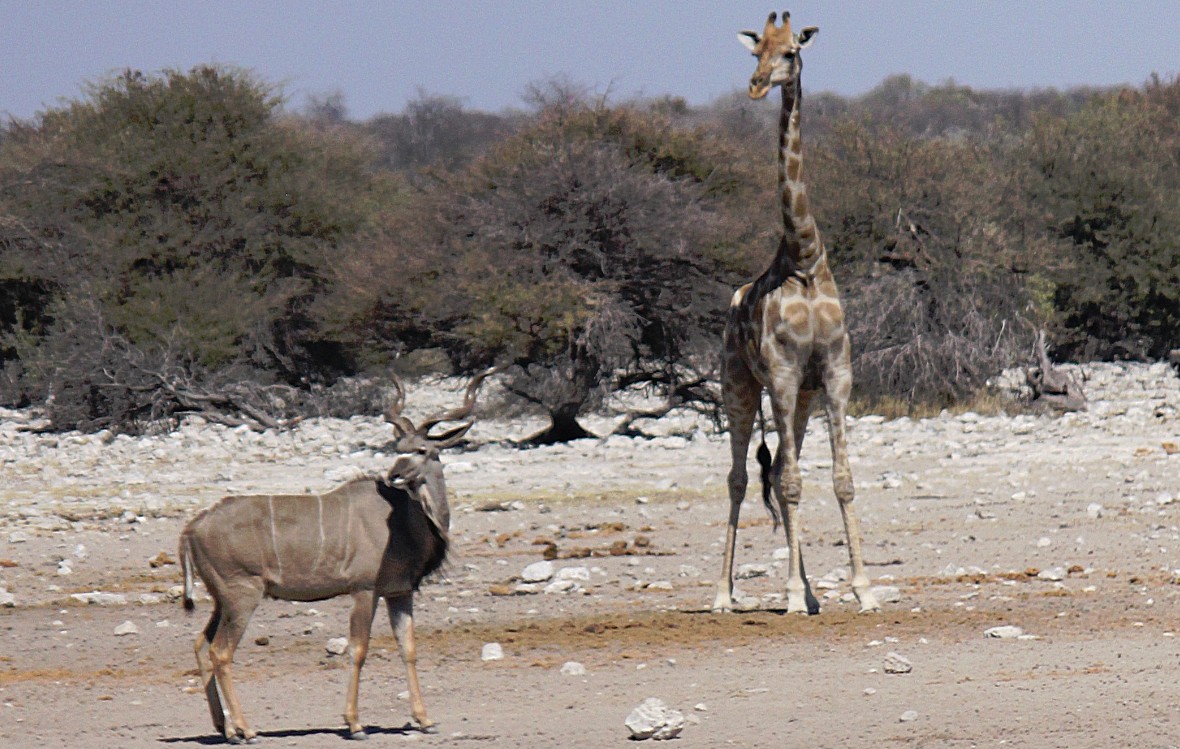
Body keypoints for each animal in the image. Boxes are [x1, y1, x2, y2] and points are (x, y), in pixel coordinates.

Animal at [707, 13, 877, 613]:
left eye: (790, 52)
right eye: (755, 49)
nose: (757, 85)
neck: (803, 257)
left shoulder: (832, 372)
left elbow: (841, 479)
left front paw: (863, 588)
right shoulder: (780, 372)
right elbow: (791, 483)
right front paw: (787, 594)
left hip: (799, 398)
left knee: (780, 465)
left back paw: (806, 590)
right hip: (738, 384)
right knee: (740, 477)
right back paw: (724, 594)